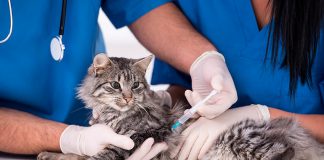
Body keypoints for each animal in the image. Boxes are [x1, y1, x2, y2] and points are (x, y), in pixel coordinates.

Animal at [38, 54, 324, 160]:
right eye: (116, 85)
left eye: (136, 85)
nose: (129, 98)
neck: (115, 116)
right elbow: (78, 152)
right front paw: (53, 153)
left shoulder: (141, 137)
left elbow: (95, 156)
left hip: (244, 139)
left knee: (282, 152)